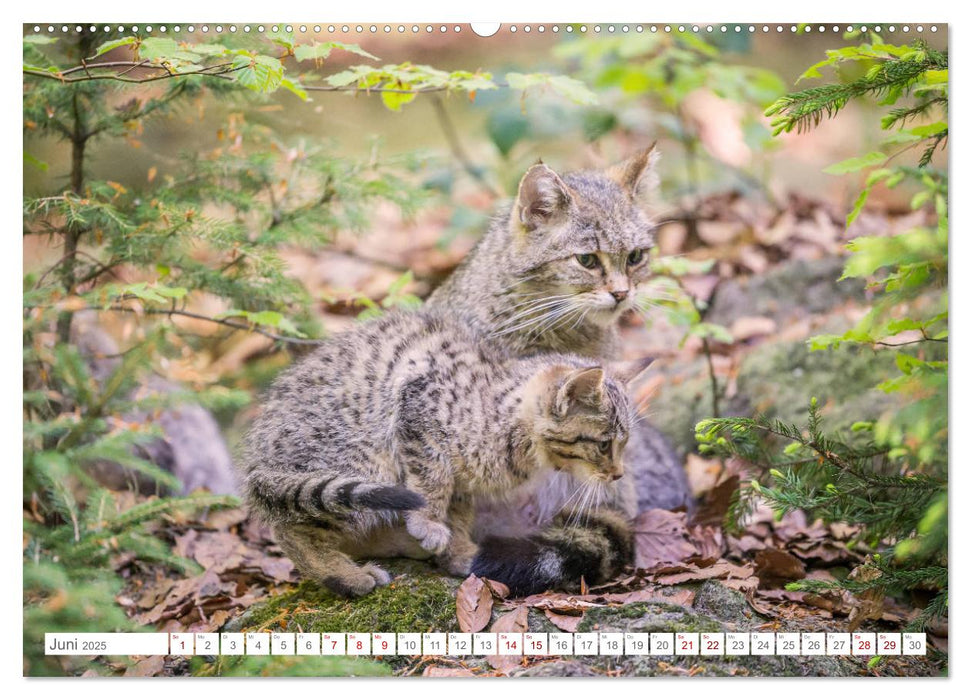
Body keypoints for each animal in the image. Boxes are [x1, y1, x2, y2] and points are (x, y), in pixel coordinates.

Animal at [239, 310, 648, 596]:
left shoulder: (465, 479)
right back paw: (345, 576)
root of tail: (257, 462)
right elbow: (431, 477)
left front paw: (460, 550)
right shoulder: (419, 407)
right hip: (362, 458)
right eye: (604, 444)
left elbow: (460, 511)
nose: (617, 474)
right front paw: (430, 524)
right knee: (294, 530)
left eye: (624, 443)